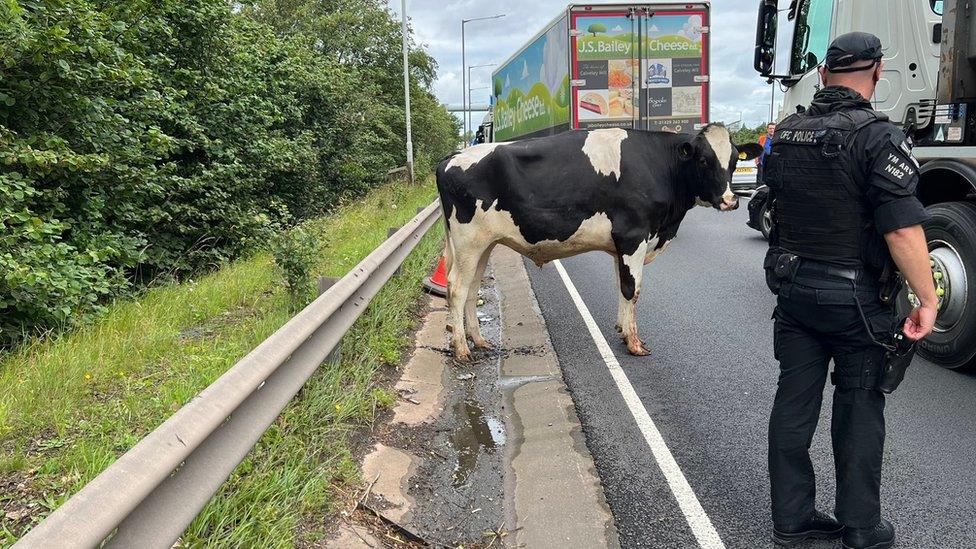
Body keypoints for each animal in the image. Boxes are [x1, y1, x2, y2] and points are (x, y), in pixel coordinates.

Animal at [434, 126, 764, 362]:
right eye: (704, 160)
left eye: (733, 161)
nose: (730, 200)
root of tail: (451, 157)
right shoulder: (633, 236)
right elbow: (632, 289)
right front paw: (634, 343)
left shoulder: (621, 245)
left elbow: (621, 285)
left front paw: (622, 331)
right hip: (468, 241)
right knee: (457, 289)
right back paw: (461, 349)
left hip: (483, 244)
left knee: (472, 289)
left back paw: (479, 340)